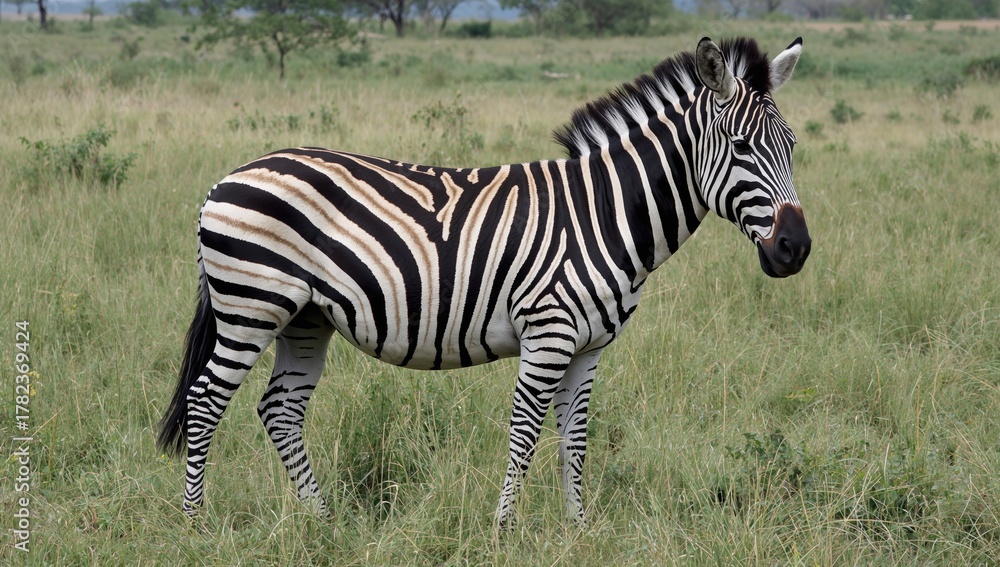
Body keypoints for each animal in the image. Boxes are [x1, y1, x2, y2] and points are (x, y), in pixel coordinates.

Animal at [158, 36, 811, 527]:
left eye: (792, 145)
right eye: (741, 146)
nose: (796, 248)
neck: (604, 214)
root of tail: (225, 179)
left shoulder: (590, 346)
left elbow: (574, 438)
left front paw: (577, 529)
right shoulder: (548, 333)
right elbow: (525, 433)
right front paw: (504, 529)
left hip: (304, 318)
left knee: (280, 409)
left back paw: (322, 520)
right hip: (252, 306)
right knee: (205, 399)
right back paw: (195, 523)